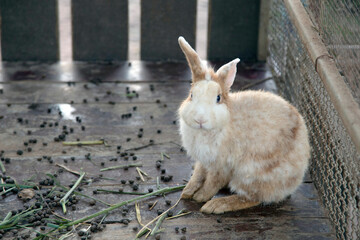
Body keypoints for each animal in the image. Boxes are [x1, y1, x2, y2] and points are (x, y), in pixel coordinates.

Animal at [177, 36, 310, 214]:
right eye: (191, 95)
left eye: (218, 98)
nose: (200, 119)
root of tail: (295, 181)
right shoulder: (203, 161)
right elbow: (198, 174)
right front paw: (187, 191)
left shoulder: (222, 165)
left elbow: (212, 182)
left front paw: (201, 197)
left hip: (251, 174)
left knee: (252, 198)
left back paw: (218, 205)